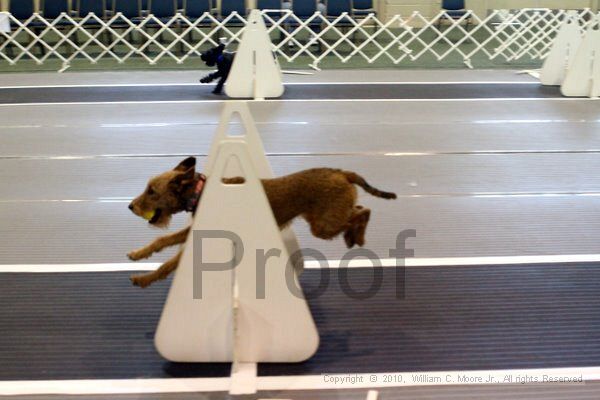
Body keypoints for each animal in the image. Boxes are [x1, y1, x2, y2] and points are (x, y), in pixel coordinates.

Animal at [127, 156, 398, 288]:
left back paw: (356, 236)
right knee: (360, 209)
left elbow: (169, 264)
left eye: (151, 191)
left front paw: (144, 279)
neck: (199, 192)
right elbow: (163, 239)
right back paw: (355, 236)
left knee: (363, 212)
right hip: (326, 218)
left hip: (323, 225)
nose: (130, 206)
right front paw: (138, 254)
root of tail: (342, 172)